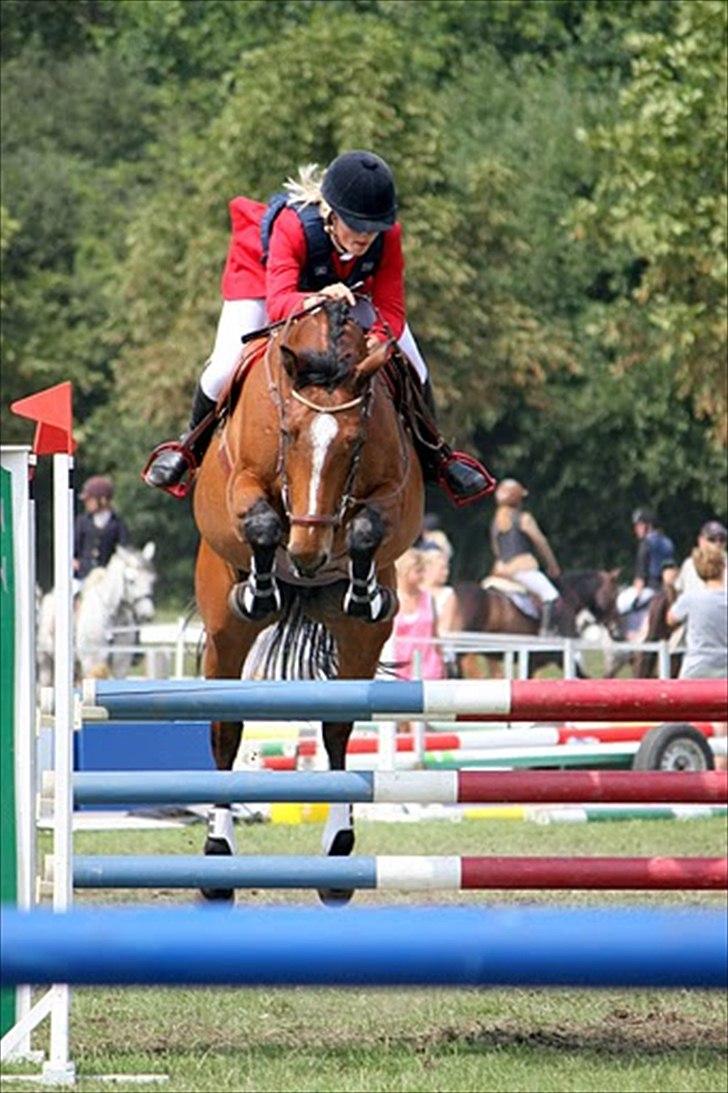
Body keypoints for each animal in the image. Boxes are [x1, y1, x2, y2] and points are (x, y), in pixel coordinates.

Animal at [37, 542, 157, 685]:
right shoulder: (92, 662)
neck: (111, 616)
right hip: (46, 662)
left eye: (151, 581)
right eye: (131, 581)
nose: (147, 615)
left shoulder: (120, 665)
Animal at [192, 299, 423, 904]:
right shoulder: (244, 482)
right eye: (289, 433)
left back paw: (338, 851)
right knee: (226, 730)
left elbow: (368, 525)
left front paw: (361, 583)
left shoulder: (397, 492)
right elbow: (261, 519)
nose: (308, 551)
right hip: (224, 632)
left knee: (338, 727)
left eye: (354, 442)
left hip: (361, 641)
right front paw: (262, 581)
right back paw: (218, 853)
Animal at [446, 569, 621, 679]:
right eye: (614, 596)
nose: (616, 631)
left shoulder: (533, 662)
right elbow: (583, 676)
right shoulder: (559, 657)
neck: (569, 599)